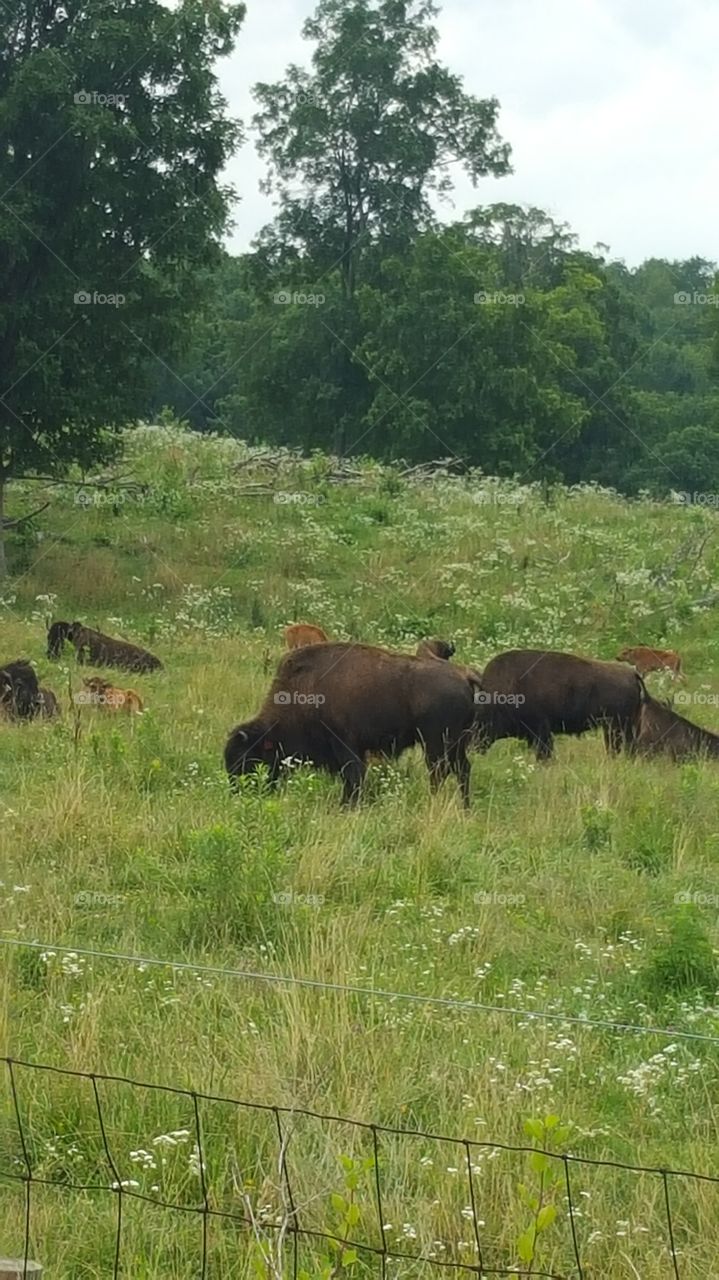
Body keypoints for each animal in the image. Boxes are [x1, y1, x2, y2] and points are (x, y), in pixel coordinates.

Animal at [223, 645, 475, 803]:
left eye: (247, 759)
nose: (238, 792)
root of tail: (464, 676)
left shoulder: (344, 746)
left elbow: (353, 777)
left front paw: (347, 805)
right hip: (454, 744)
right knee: (462, 769)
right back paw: (464, 807)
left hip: (436, 743)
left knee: (439, 772)